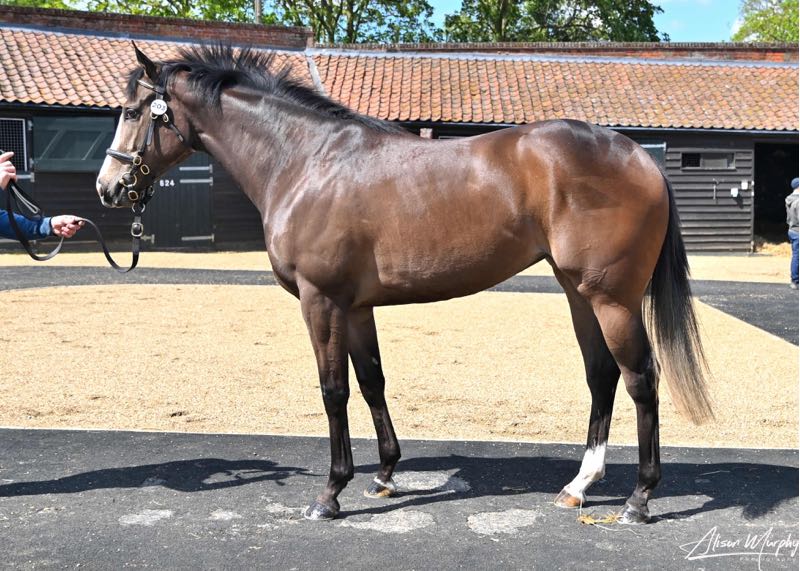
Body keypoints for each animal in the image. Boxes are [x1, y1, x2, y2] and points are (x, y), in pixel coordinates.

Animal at [96, 43, 713, 524]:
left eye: (133, 111)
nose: (108, 187)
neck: (306, 161)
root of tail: (638, 156)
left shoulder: (322, 302)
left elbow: (334, 391)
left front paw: (331, 492)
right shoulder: (355, 307)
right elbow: (372, 381)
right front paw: (384, 474)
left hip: (611, 299)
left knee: (641, 378)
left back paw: (638, 499)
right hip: (578, 292)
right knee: (601, 376)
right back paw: (579, 486)